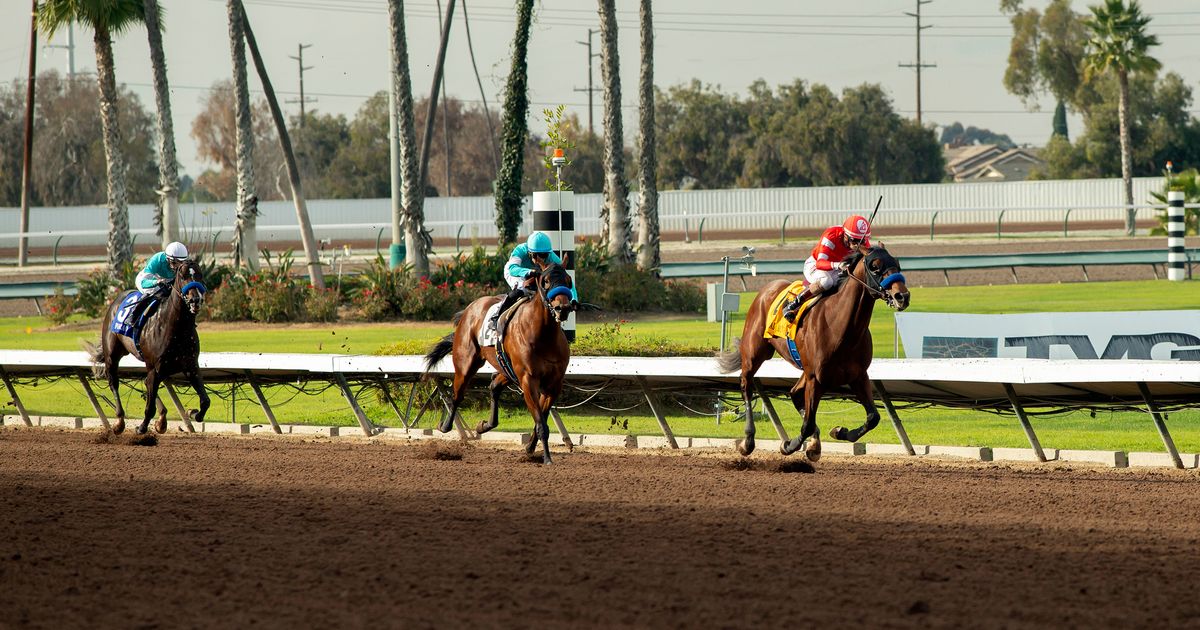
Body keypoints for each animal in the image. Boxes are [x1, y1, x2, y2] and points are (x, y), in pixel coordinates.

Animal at [87, 259, 211, 432]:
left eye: (200, 274)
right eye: (182, 275)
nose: (195, 300)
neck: (175, 327)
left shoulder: (191, 366)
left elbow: (205, 401)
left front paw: (193, 413)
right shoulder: (155, 367)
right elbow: (149, 405)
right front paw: (142, 427)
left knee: (146, 383)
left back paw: (162, 418)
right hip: (112, 355)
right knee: (114, 382)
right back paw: (119, 421)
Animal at [422, 262, 576, 463]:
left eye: (568, 280)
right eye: (546, 281)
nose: (562, 308)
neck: (544, 336)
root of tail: (469, 309)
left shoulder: (553, 385)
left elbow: (541, 418)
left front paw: (530, 447)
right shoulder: (528, 380)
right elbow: (541, 423)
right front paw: (547, 459)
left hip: (506, 368)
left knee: (494, 385)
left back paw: (484, 425)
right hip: (466, 365)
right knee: (457, 395)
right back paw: (445, 426)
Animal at [715, 248, 902, 458]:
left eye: (897, 263)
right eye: (874, 266)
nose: (902, 295)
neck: (841, 327)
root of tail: (767, 289)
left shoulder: (858, 375)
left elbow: (873, 417)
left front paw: (839, 432)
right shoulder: (815, 378)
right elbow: (807, 425)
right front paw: (789, 445)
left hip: (804, 367)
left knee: (795, 393)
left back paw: (814, 442)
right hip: (753, 353)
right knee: (746, 385)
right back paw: (748, 441)